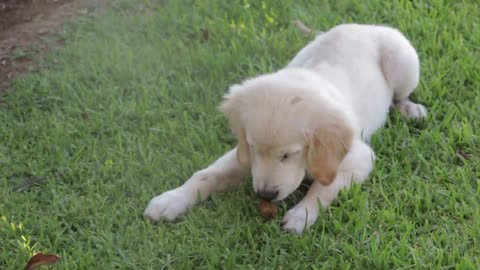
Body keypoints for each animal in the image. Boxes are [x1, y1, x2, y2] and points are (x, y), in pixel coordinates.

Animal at [143, 23, 428, 234]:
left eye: (288, 155)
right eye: (255, 149)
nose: (265, 194)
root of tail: (364, 25)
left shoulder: (358, 158)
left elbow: (324, 187)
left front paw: (302, 214)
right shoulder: (242, 154)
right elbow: (205, 174)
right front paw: (171, 200)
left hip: (404, 63)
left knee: (400, 96)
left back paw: (410, 110)